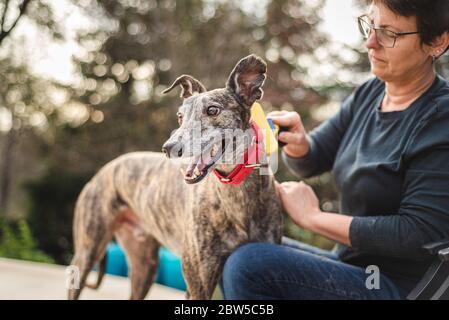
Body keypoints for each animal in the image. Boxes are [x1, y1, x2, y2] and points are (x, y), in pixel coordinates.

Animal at [68, 54, 282, 300]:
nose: (169, 148)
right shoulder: (198, 283)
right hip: (87, 253)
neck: (235, 194)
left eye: (212, 110)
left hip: (145, 265)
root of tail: (104, 171)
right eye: (180, 116)